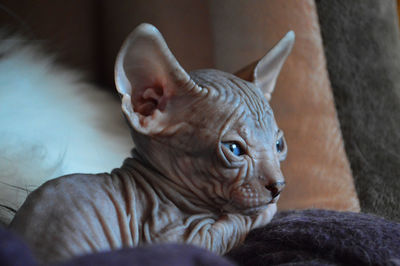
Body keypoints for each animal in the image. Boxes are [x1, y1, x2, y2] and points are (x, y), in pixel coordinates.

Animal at [9, 23, 296, 264]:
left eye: (279, 145)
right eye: (235, 149)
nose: (279, 186)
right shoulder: (172, 237)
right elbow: (234, 222)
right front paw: (260, 213)